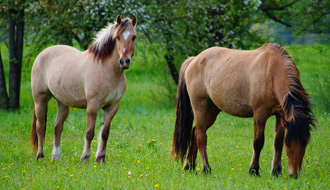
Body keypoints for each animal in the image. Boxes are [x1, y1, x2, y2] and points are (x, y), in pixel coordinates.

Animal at [30, 15, 137, 163]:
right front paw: (85, 157)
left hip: (62, 102)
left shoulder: (112, 107)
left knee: (58, 126)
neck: (106, 70)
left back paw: (56, 157)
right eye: (117, 37)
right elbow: (89, 132)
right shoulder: (93, 106)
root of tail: (42, 53)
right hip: (40, 100)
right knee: (40, 127)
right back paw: (40, 155)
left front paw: (101, 159)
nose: (124, 62)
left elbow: (105, 133)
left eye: (134, 37)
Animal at [171, 43, 316, 178]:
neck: (271, 72)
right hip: (200, 107)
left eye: (305, 142)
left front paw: (276, 171)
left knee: (194, 132)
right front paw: (254, 170)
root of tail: (194, 60)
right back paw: (206, 169)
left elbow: (277, 142)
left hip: (212, 112)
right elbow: (258, 142)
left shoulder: (281, 115)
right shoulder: (260, 114)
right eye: (289, 142)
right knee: (201, 136)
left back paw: (189, 166)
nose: (295, 174)